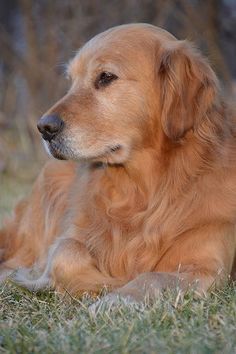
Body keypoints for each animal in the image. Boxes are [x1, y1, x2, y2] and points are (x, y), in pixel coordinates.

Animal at [0, 23, 236, 304]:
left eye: (106, 77)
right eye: (71, 81)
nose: (44, 127)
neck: (142, 191)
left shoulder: (207, 267)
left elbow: (151, 277)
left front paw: (116, 298)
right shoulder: (72, 236)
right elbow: (64, 252)